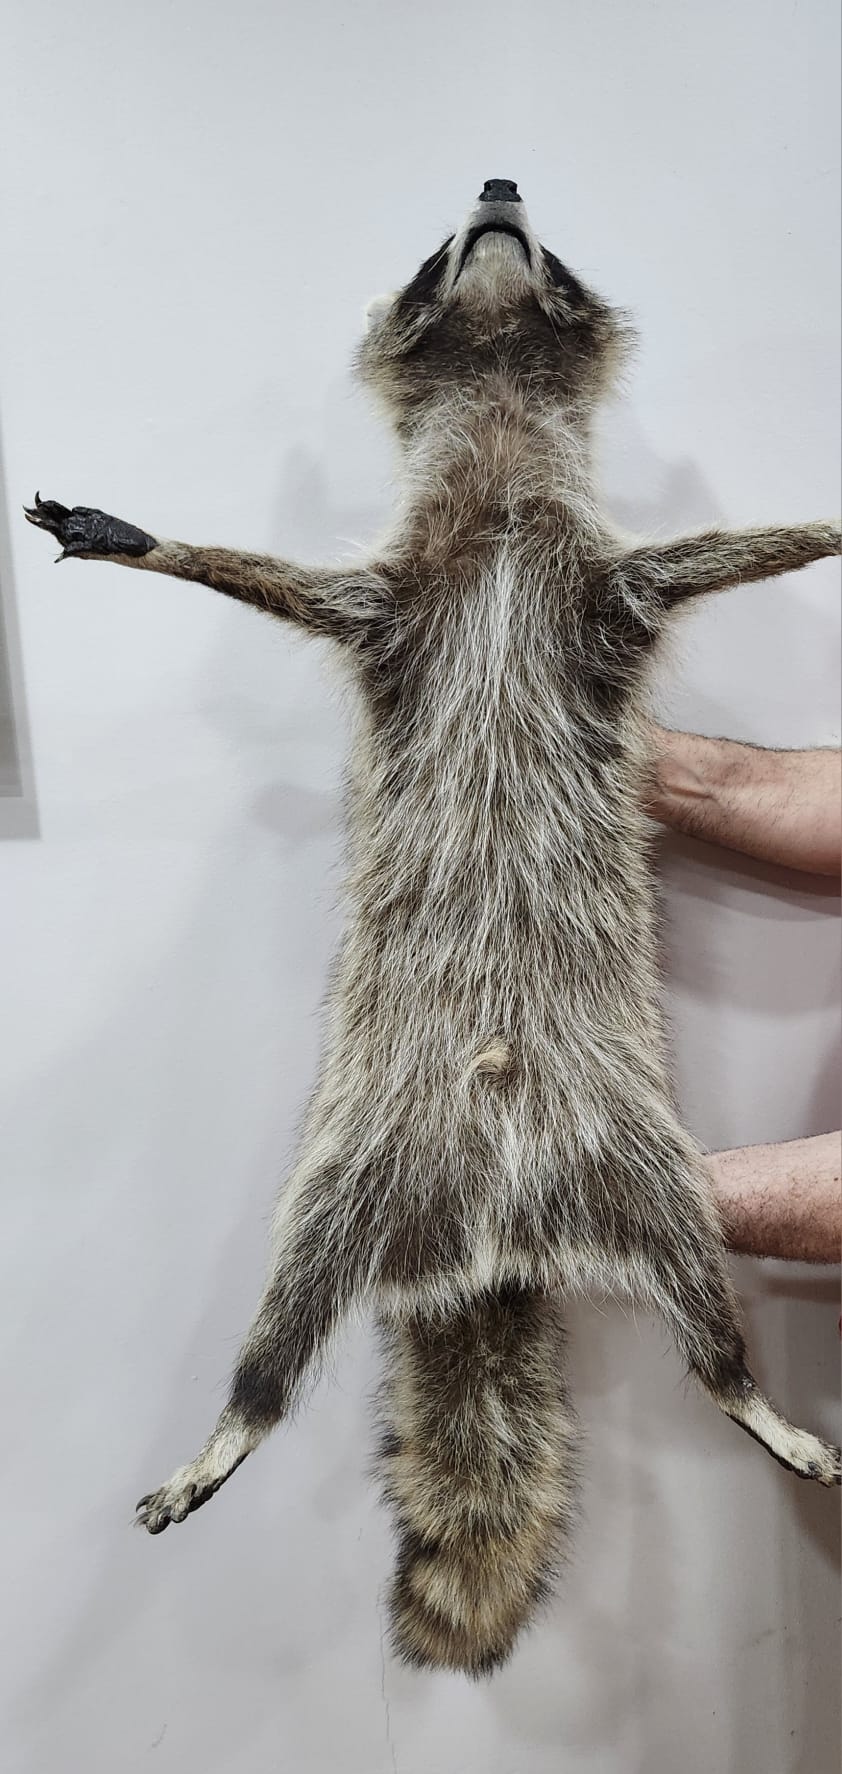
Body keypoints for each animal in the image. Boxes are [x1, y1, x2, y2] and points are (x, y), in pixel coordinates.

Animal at [26, 178, 841, 1677]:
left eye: (548, 250)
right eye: (434, 256)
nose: (500, 182)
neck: (504, 447)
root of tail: (493, 1235)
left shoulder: (607, 577)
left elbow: (741, 547)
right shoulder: (392, 597)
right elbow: (270, 576)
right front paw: (145, 539)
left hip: (645, 1166)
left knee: (703, 1298)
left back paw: (742, 1388)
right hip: (347, 1173)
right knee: (282, 1318)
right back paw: (236, 1419)